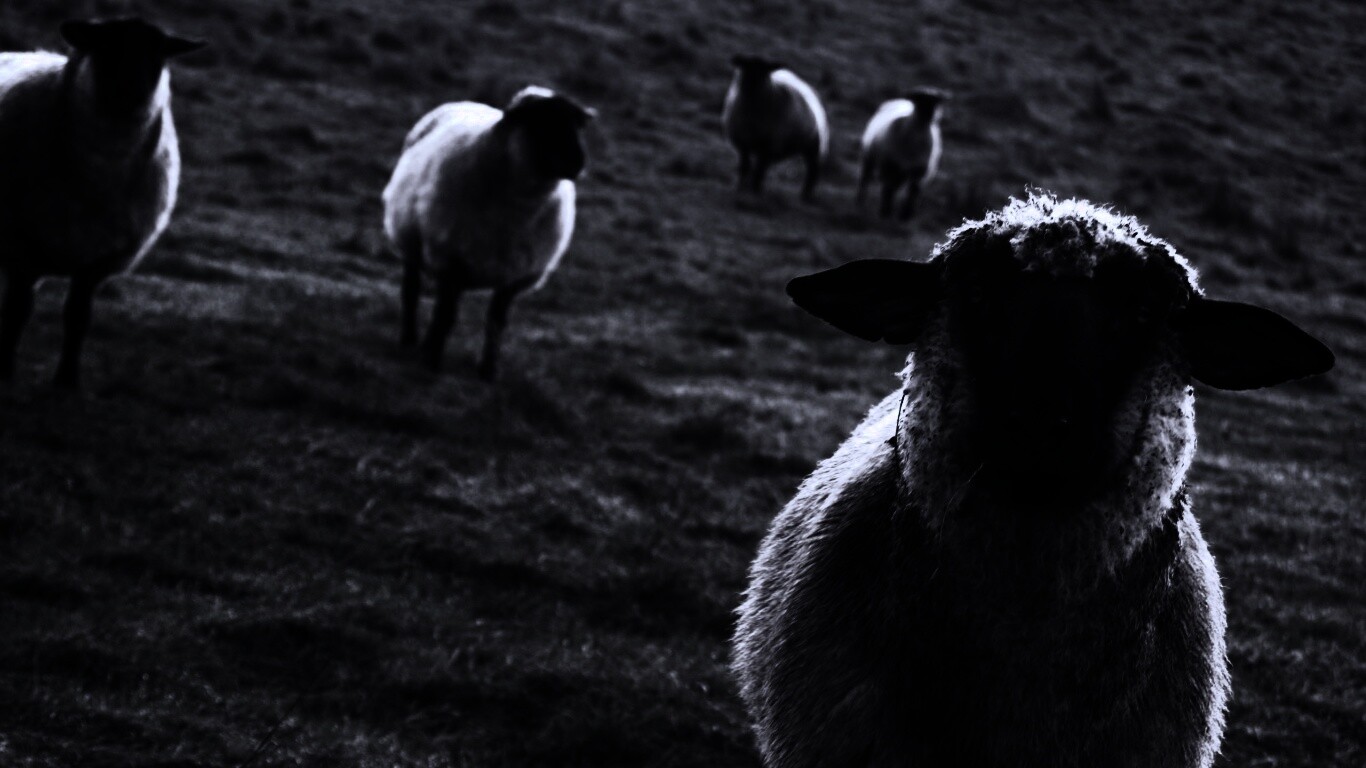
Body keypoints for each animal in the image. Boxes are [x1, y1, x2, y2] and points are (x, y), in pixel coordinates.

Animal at [0, 18, 202, 388]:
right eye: (104, 47)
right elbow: (17, 312)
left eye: (156, 55)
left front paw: (67, 383)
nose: (131, 90)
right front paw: (4, 372)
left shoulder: (97, 262)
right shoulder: (24, 247)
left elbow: (78, 318)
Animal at [381, 86, 594, 380]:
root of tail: (469, 101)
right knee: (411, 290)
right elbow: (446, 315)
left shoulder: (515, 274)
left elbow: (496, 322)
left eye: (577, 125)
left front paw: (488, 371)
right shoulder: (452, 260)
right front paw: (432, 361)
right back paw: (410, 339)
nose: (578, 162)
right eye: (541, 123)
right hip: (412, 241)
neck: (517, 206)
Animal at [722, 55, 829, 201]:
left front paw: (754, 191)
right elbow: (745, 167)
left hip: (813, 147)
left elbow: (759, 171)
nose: (752, 85)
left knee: (812, 172)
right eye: (745, 66)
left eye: (765, 71)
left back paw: (805, 195)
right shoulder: (743, 143)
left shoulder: (768, 146)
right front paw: (740, 187)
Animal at [856, 89, 949, 220]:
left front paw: (905, 215)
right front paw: (885, 212)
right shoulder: (890, 166)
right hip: (869, 158)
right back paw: (860, 202)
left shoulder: (920, 172)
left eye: (937, 101)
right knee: (865, 180)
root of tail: (900, 100)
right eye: (919, 99)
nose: (932, 114)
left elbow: (912, 193)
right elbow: (888, 189)